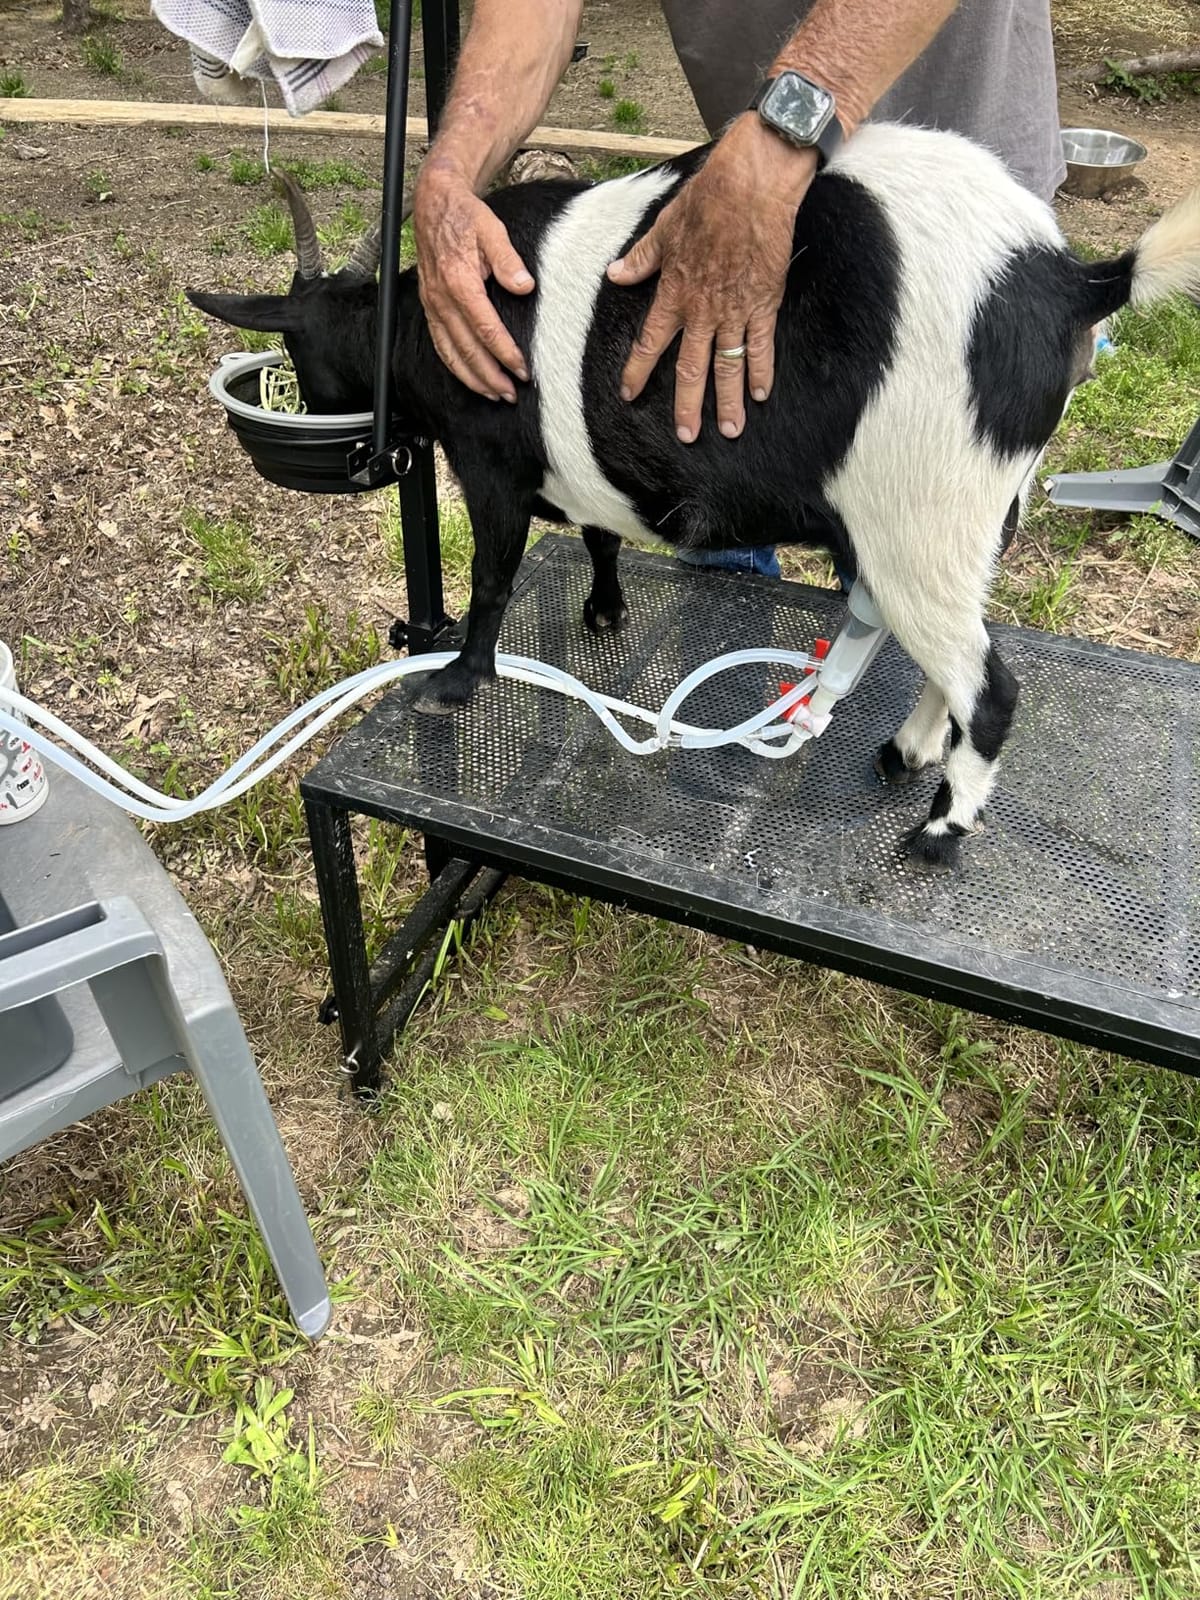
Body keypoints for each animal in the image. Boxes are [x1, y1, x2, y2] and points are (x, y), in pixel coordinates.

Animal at [188, 132, 1200, 867]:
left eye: (300, 351)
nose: (330, 428)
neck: (425, 321)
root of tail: (1074, 280)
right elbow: (598, 532)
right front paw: (603, 609)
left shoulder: (490, 461)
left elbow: (492, 576)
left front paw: (457, 682)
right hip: (959, 523)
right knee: (948, 659)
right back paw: (910, 753)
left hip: (923, 515)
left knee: (988, 685)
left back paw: (941, 830)